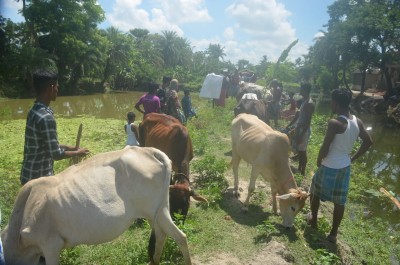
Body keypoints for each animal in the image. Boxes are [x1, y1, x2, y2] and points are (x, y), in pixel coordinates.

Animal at [1, 145, 192, 264]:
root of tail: (150, 151)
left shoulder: (51, 245)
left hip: (157, 212)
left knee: (180, 237)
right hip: (158, 212)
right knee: (162, 235)